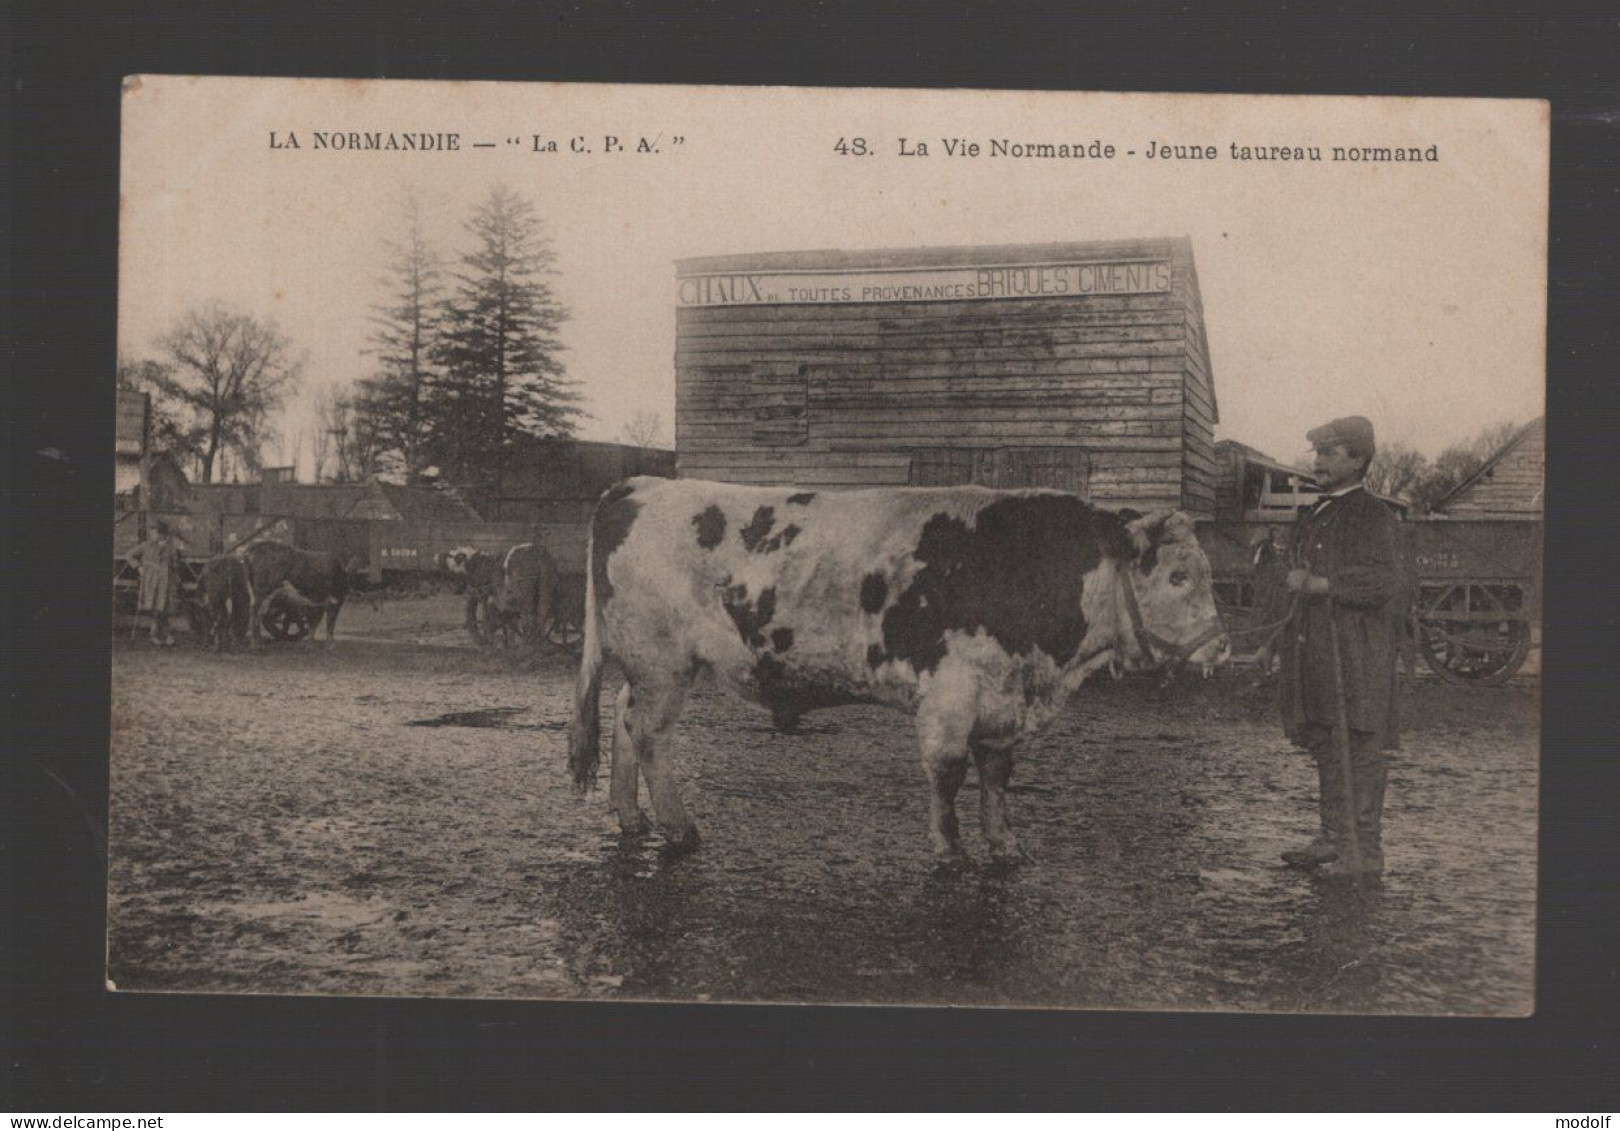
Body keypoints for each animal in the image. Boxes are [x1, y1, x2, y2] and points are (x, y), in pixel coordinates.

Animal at [570, 473, 1224, 855]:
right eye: (1178, 576)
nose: (1221, 646)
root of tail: (640, 484)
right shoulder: (951, 694)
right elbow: (949, 772)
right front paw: (950, 849)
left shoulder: (1003, 698)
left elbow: (996, 775)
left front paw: (1005, 847)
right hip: (661, 659)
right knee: (649, 734)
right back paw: (679, 829)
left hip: (653, 664)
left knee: (624, 717)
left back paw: (631, 817)